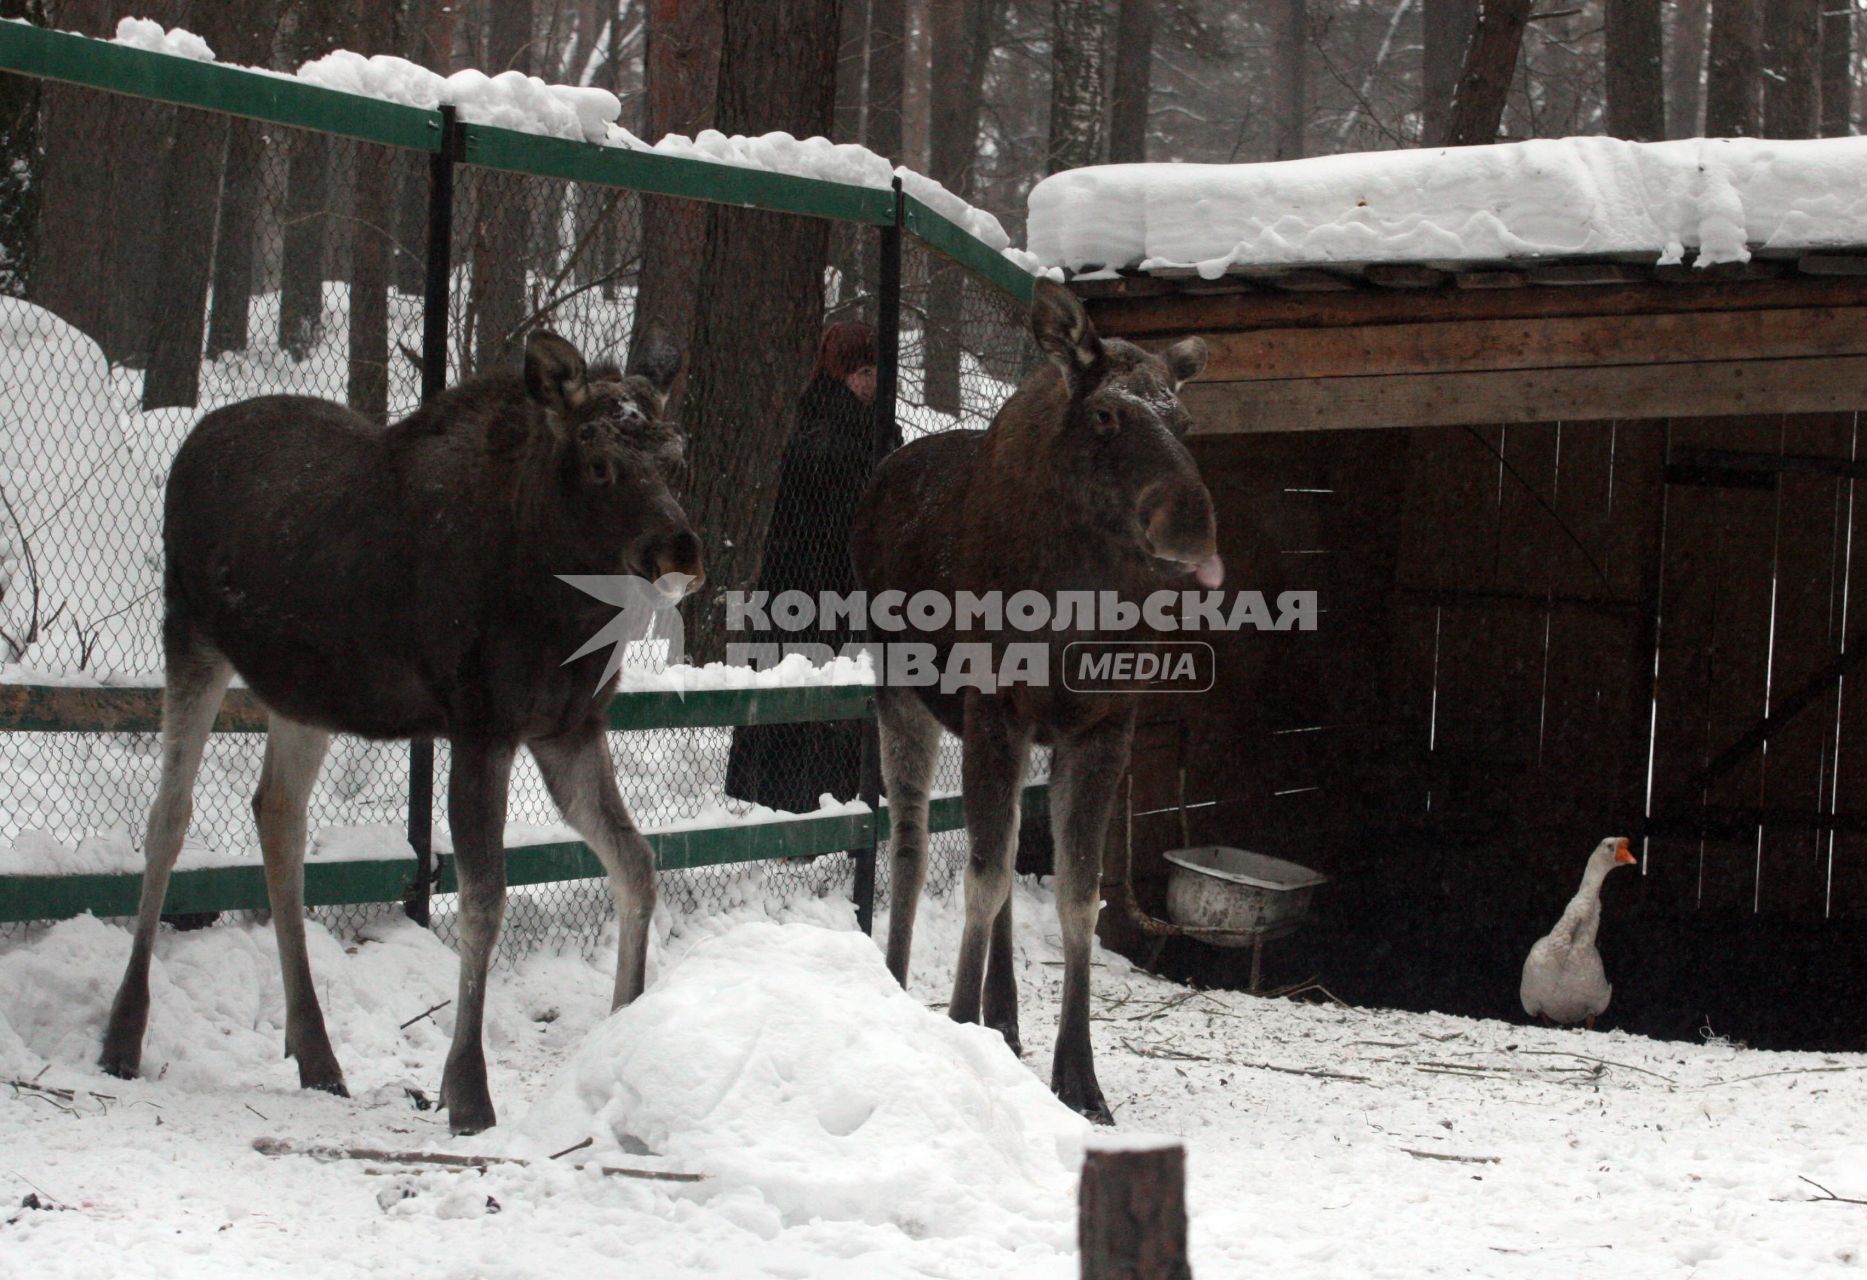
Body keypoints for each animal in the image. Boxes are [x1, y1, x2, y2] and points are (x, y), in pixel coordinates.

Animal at [94, 328, 698, 1134]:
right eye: (599, 459)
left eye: (676, 454)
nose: (679, 548)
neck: (567, 608)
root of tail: (195, 440)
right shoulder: (482, 724)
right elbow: (483, 897)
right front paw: (466, 1092)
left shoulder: (570, 727)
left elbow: (634, 862)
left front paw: (623, 1026)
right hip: (189, 632)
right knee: (170, 814)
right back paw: (123, 1035)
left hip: (301, 692)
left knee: (277, 815)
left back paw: (316, 1054)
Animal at [855, 278, 1217, 1119]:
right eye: (1105, 413)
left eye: (1184, 419)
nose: (1191, 525)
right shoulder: (995, 709)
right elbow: (983, 879)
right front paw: (959, 1025)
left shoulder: (1102, 725)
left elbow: (1077, 897)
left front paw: (1076, 1076)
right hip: (899, 687)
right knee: (911, 842)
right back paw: (904, 990)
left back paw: (1007, 1021)